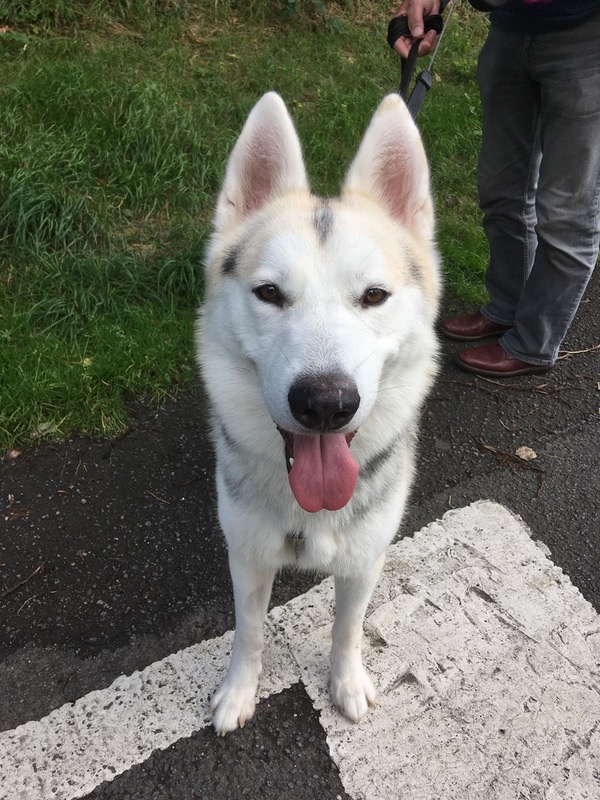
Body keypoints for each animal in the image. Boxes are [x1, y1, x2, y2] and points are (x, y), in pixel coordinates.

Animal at [197, 90, 440, 736]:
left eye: (374, 296)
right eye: (270, 293)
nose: (326, 404)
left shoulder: (364, 560)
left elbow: (347, 629)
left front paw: (346, 683)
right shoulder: (246, 556)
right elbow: (249, 632)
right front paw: (239, 691)